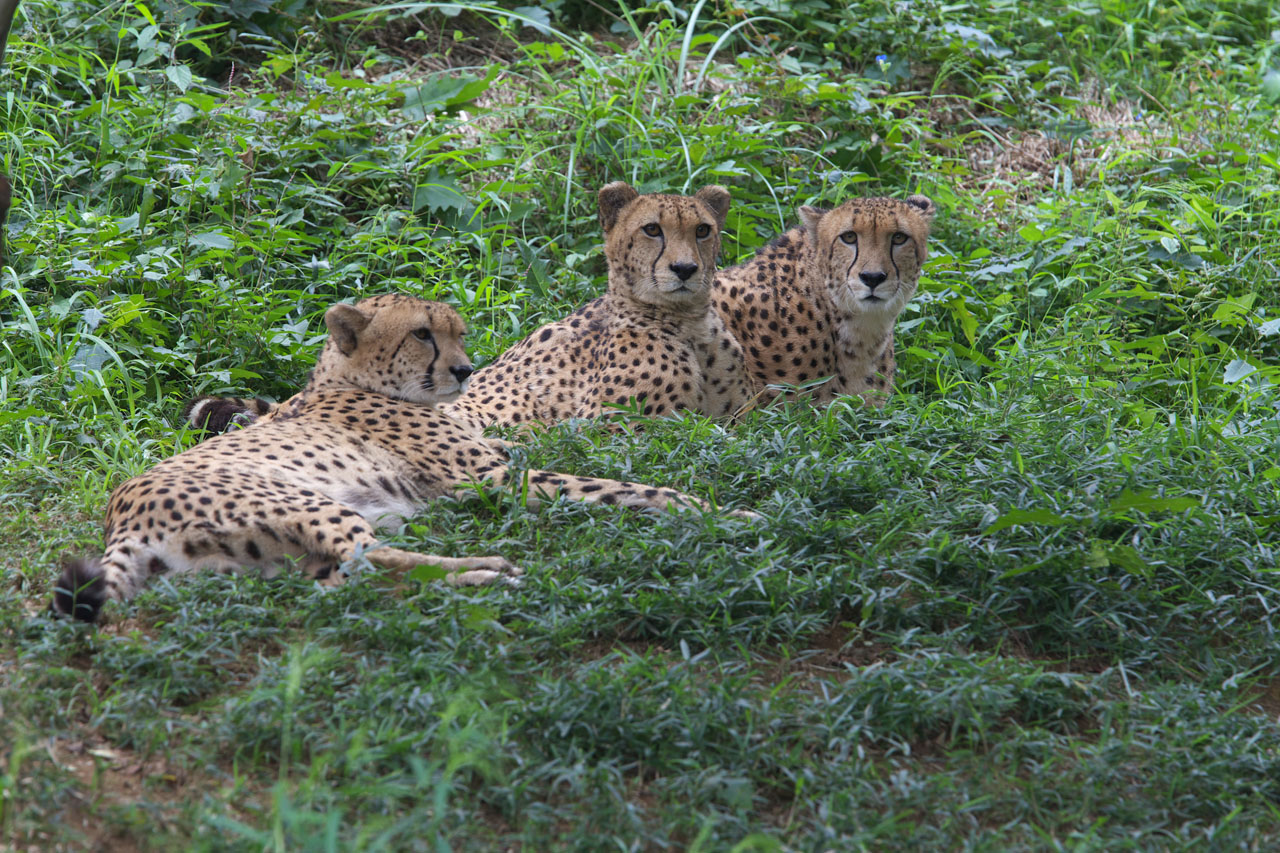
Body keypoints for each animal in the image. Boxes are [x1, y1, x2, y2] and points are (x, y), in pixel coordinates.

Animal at [55, 292, 747, 617]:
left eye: (459, 332)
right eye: (422, 334)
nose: (465, 369)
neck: (350, 379)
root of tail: (120, 515)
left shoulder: (501, 455)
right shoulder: (496, 476)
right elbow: (615, 485)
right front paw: (718, 511)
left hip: (268, 561)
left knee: (347, 583)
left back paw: (475, 577)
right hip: (307, 502)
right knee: (371, 561)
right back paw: (487, 570)